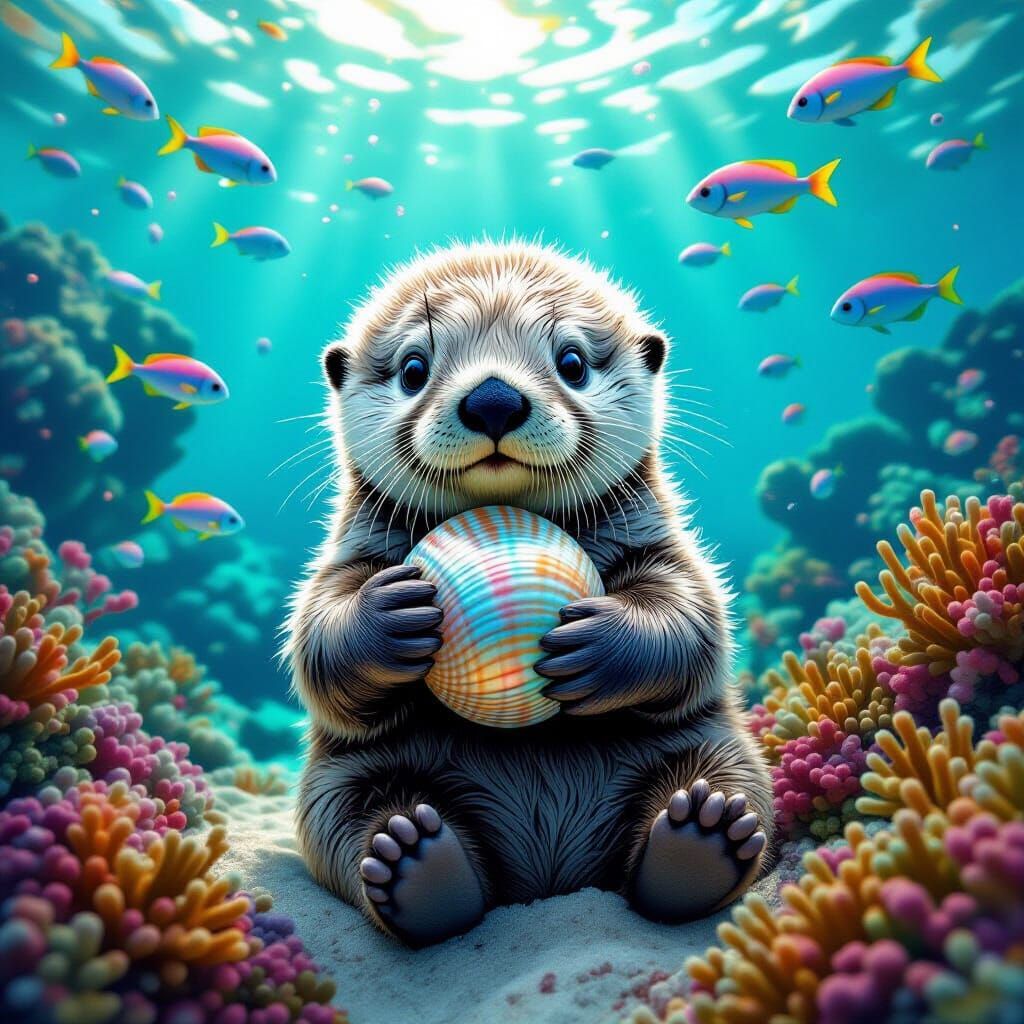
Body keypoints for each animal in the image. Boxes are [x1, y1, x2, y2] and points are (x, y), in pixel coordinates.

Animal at [285, 242, 772, 947]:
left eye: (572, 363)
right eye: (413, 369)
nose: (493, 399)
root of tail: (550, 881)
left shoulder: (659, 540)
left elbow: (691, 617)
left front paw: (600, 646)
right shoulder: (353, 548)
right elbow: (318, 633)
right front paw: (387, 617)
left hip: (721, 750)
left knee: (724, 795)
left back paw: (701, 837)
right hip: (336, 788)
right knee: (357, 832)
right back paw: (414, 863)